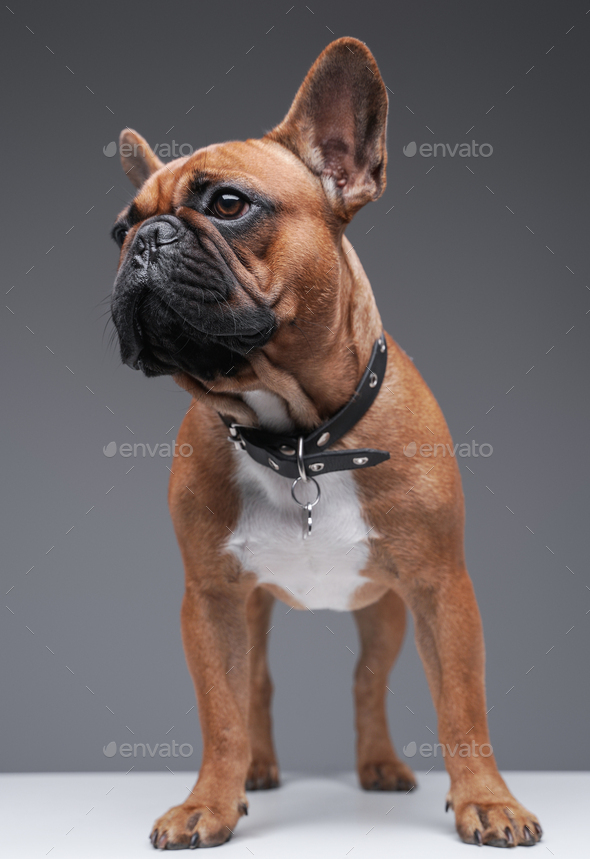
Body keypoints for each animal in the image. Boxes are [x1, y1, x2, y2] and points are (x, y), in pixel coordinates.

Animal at [108, 38, 544, 848]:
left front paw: (488, 800)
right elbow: (221, 713)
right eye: (118, 232)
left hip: (386, 608)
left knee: (368, 682)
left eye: (228, 204)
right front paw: (208, 803)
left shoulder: (441, 588)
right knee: (255, 686)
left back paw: (380, 765)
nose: (144, 243)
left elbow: (463, 706)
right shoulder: (211, 600)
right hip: (253, 609)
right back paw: (255, 771)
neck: (300, 437)